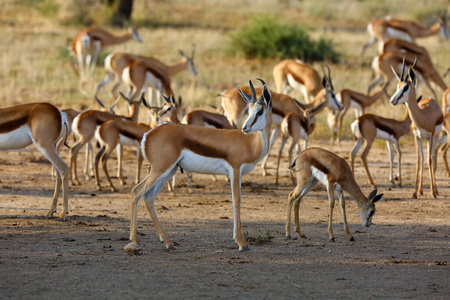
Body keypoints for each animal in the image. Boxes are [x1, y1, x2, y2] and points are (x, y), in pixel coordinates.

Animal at [125, 78, 274, 252]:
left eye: (259, 112)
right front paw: (242, 243)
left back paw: (168, 243)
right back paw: (135, 240)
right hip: (160, 170)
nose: (245, 127)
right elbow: (236, 201)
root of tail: (147, 135)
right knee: (136, 192)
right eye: (249, 111)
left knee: (148, 197)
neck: (250, 143)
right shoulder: (235, 171)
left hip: (169, 170)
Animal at [388, 57, 444, 198]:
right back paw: (420, 190)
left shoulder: (430, 136)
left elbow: (429, 160)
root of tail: (430, 99)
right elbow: (419, 161)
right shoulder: (416, 137)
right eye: (397, 86)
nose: (392, 100)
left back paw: (435, 190)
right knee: (423, 158)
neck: (422, 116)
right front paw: (414, 193)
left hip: (435, 137)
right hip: (423, 139)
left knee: (431, 156)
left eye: (405, 87)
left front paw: (433, 193)